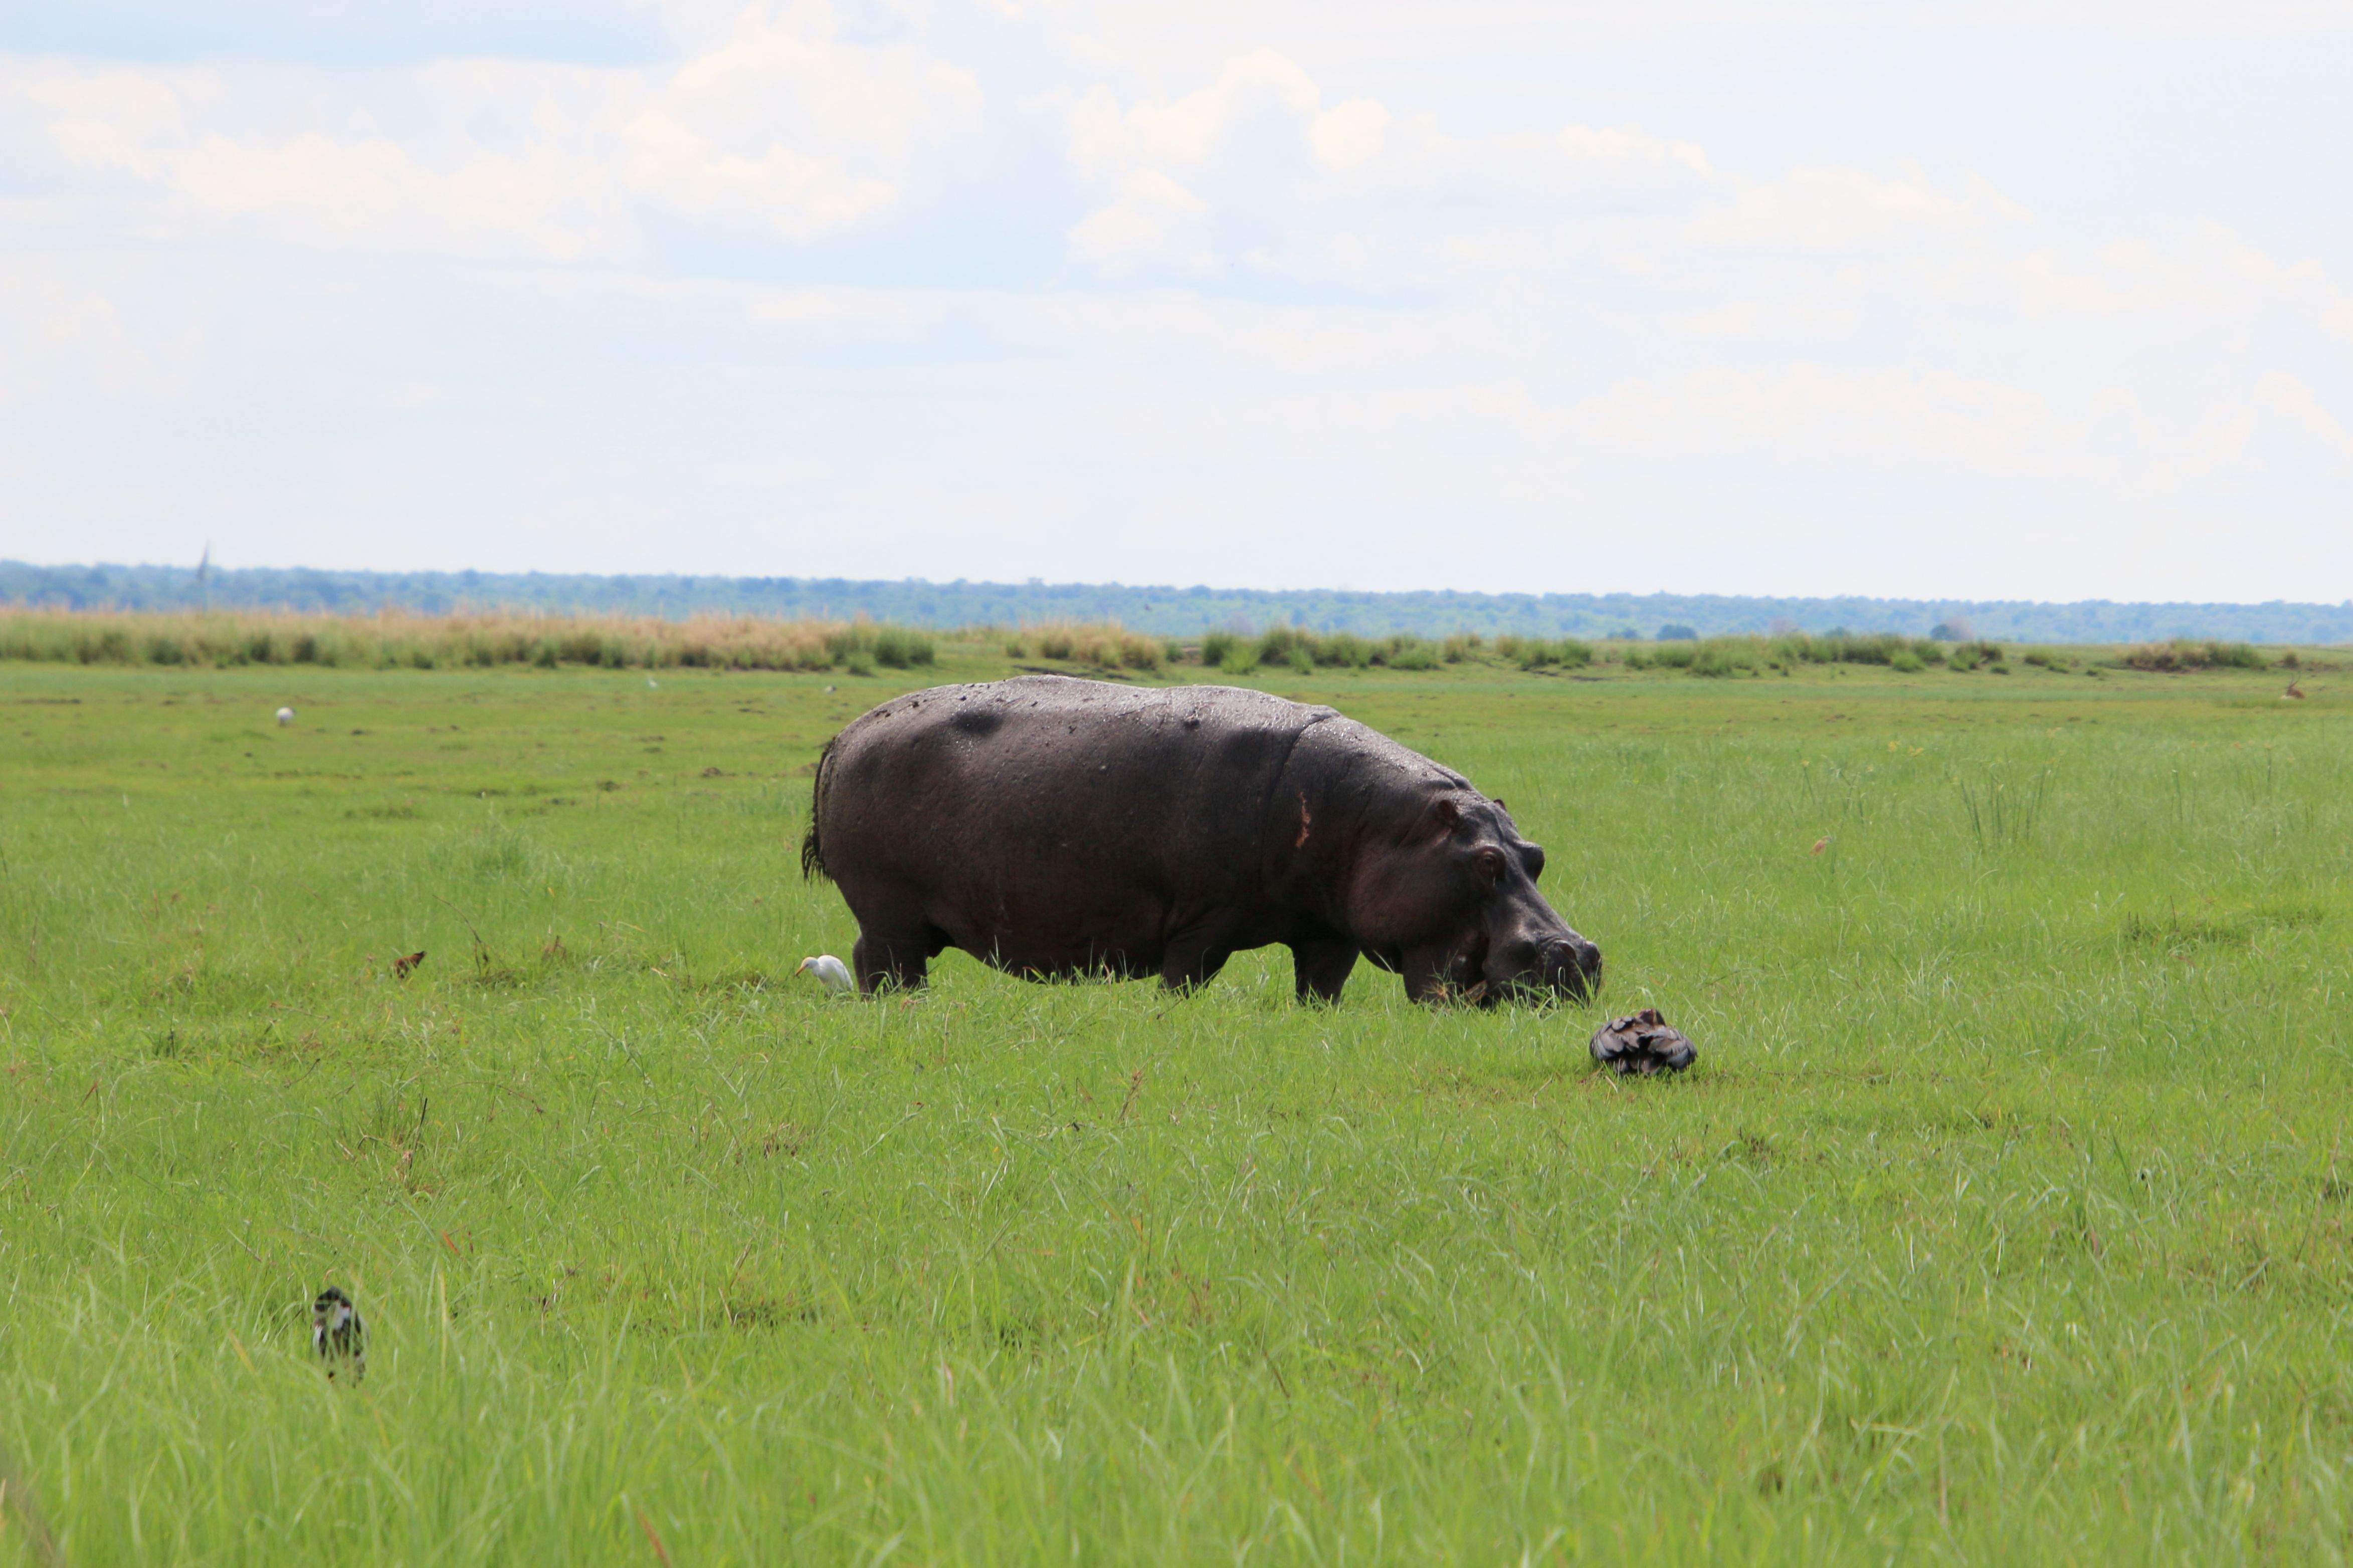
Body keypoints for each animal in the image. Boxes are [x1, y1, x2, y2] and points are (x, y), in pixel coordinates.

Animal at [801, 675, 1601, 1004]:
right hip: (891, 914)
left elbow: (1322, 987)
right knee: (885, 965)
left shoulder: (1328, 931)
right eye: (1485, 862)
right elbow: (1184, 977)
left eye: (1535, 856)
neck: (1379, 823)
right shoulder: (1202, 921)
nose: (1579, 955)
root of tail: (841, 738)